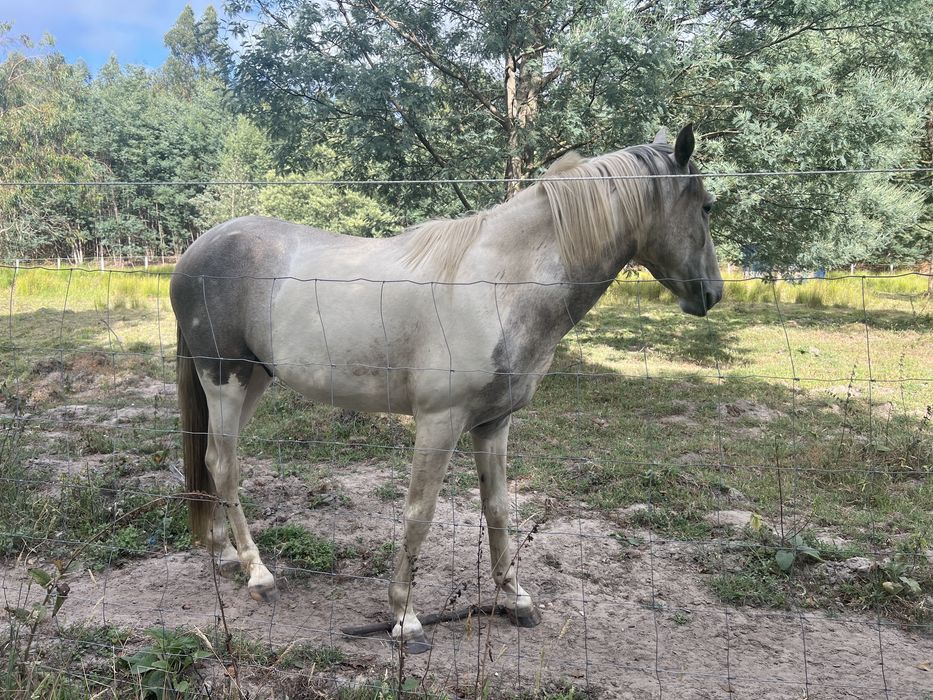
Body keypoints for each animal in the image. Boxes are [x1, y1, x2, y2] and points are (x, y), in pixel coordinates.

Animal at [170, 124, 722, 652]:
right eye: (707, 206)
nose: (712, 293)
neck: (499, 285)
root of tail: (196, 249)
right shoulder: (440, 421)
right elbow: (420, 513)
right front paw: (405, 619)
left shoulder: (494, 423)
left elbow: (498, 508)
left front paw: (514, 598)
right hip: (225, 378)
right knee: (225, 464)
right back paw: (258, 573)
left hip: (253, 380)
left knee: (214, 460)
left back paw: (225, 554)